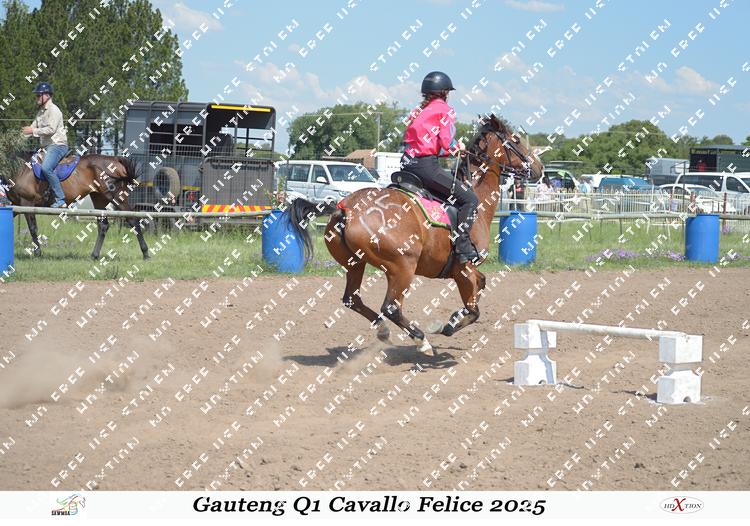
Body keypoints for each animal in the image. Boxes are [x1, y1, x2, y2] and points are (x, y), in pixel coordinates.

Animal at [3, 136, 150, 260]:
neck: (21, 169)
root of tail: (115, 160)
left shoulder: (27, 203)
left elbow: (33, 229)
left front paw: (37, 253)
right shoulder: (15, 205)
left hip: (117, 197)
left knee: (133, 220)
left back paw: (146, 253)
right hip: (99, 199)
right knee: (103, 226)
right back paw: (94, 255)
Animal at [289, 114, 543, 355]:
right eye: (516, 140)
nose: (539, 167)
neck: (476, 200)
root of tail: (345, 208)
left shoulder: (465, 270)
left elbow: (480, 287)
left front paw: (453, 321)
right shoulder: (463, 268)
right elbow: (474, 308)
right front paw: (446, 326)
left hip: (355, 264)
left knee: (353, 299)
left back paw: (383, 330)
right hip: (402, 268)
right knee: (391, 307)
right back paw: (422, 341)